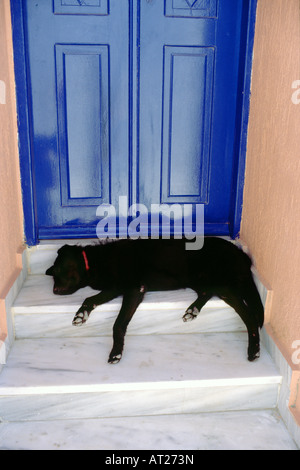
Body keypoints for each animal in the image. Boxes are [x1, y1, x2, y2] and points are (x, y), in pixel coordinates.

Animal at [45, 239, 264, 364]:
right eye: (53, 274)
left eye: (58, 269)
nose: (54, 291)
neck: (94, 262)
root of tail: (240, 253)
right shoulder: (115, 288)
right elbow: (89, 299)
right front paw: (81, 314)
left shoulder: (134, 289)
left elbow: (118, 324)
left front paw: (116, 352)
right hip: (200, 280)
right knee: (206, 293)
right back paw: (192, 310)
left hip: (221, 285)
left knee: (249, 316)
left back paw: (254, 349)